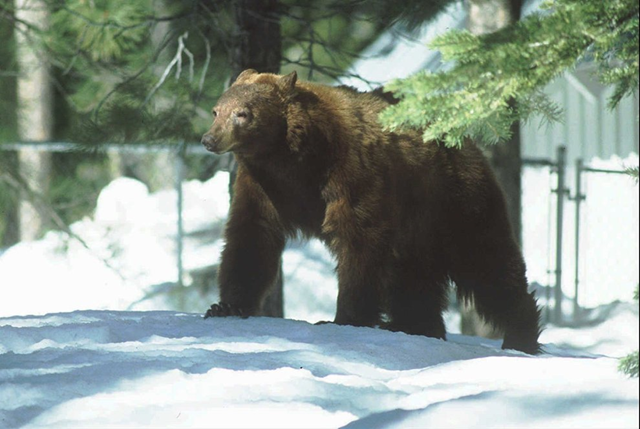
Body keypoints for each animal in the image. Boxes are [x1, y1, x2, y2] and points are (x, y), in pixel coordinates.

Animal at [201, 69, 541, 354]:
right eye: (217, 110)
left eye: (243, 113)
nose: (209, 138)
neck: (293, 157)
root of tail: (466, 142)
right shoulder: (263, 185)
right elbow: (251, 235)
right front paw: (226, 306)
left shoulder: (351, 172)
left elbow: (359, 239)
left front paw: (344, 317)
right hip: (418, 229)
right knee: (413, 279)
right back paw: (413, 325)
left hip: (455, 204)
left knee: (488, 263)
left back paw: (520, 334)